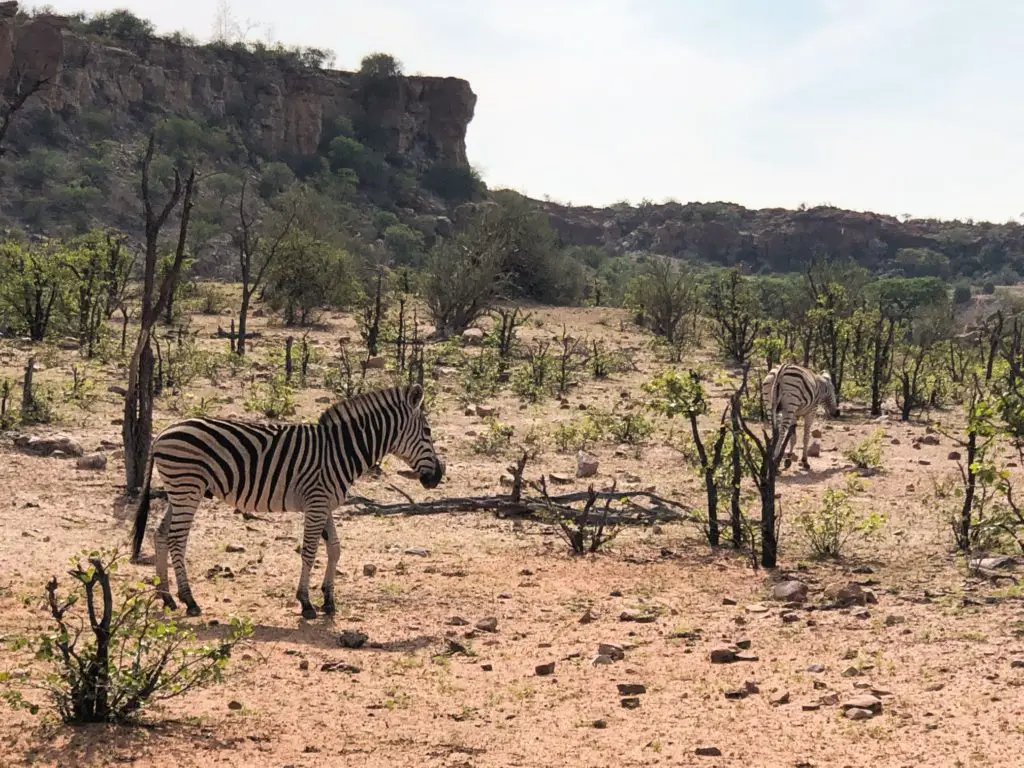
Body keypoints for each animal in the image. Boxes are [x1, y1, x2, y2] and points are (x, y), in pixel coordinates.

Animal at [130, 382, 442, 622]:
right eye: (427, 432)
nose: (437, 477)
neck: (341, 450)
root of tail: (162, 433)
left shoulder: (325, 503)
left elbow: (335, 549)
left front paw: (329, 601)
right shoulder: (316, 502)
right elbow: (310, 552)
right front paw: (306, 603)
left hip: (180, 491)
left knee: (160, 534)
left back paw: (166, 597)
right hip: (187, 487)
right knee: (176, 540)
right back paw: (189, 601)